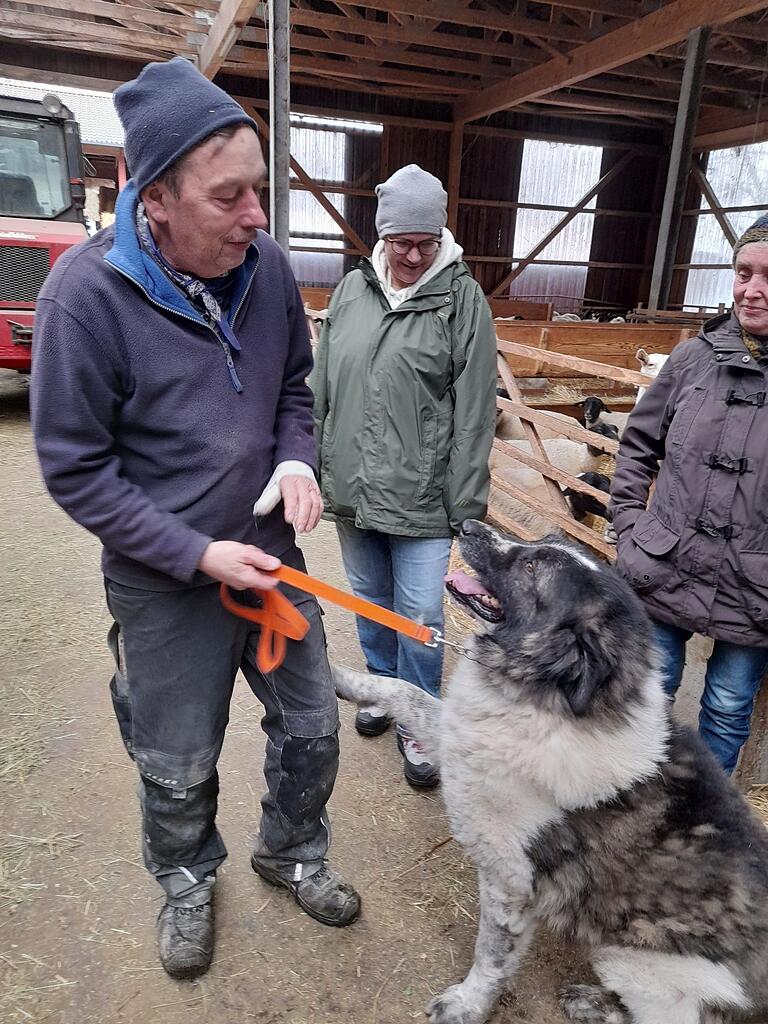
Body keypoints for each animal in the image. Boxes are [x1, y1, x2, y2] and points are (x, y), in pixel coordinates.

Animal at [333, 524, 768, 1019]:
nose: (466, 526)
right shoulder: (458, 736)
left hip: (635, 962)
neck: (547, 697)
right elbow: (402, 689)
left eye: (531, 567)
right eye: (539, 543)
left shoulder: (509, 880)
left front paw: (468, 1004)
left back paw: (592, 1004)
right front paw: (335, 676)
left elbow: (492, 955)